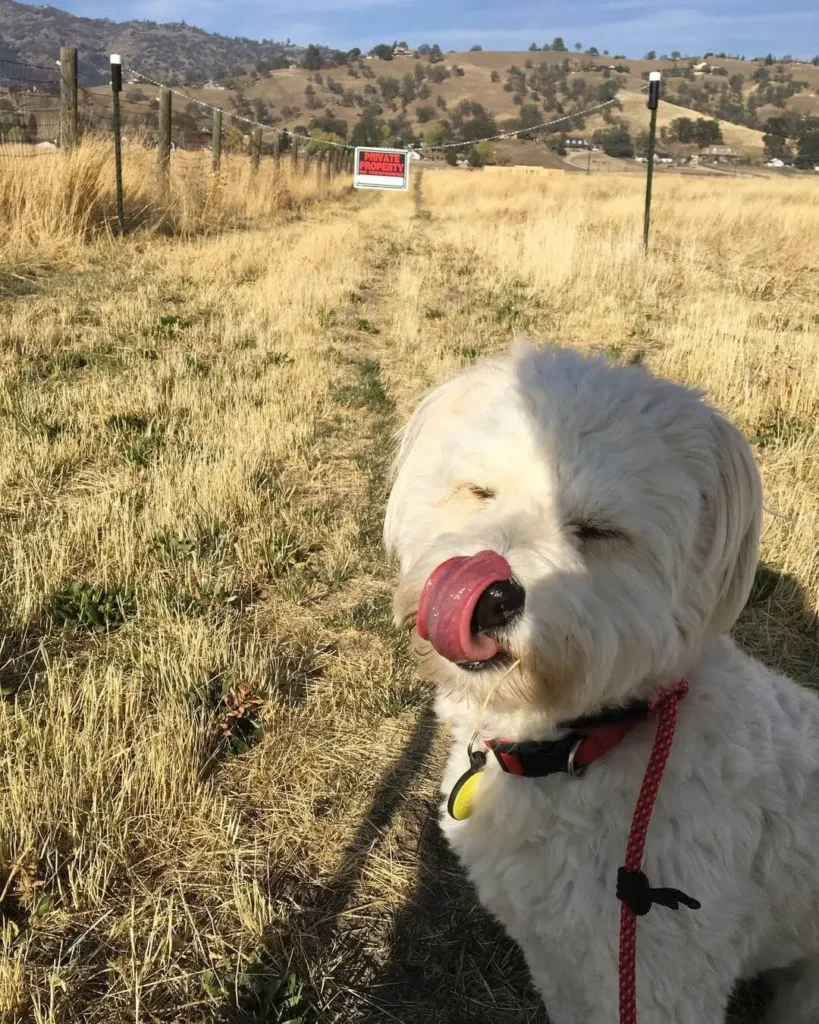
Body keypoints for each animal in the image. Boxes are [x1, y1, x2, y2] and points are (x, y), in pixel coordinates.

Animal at [382, 344, 818, 1024]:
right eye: (480, 491)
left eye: (598, 530)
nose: (488, 597)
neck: (580, 745)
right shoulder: (557, 959)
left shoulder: (662, 983)